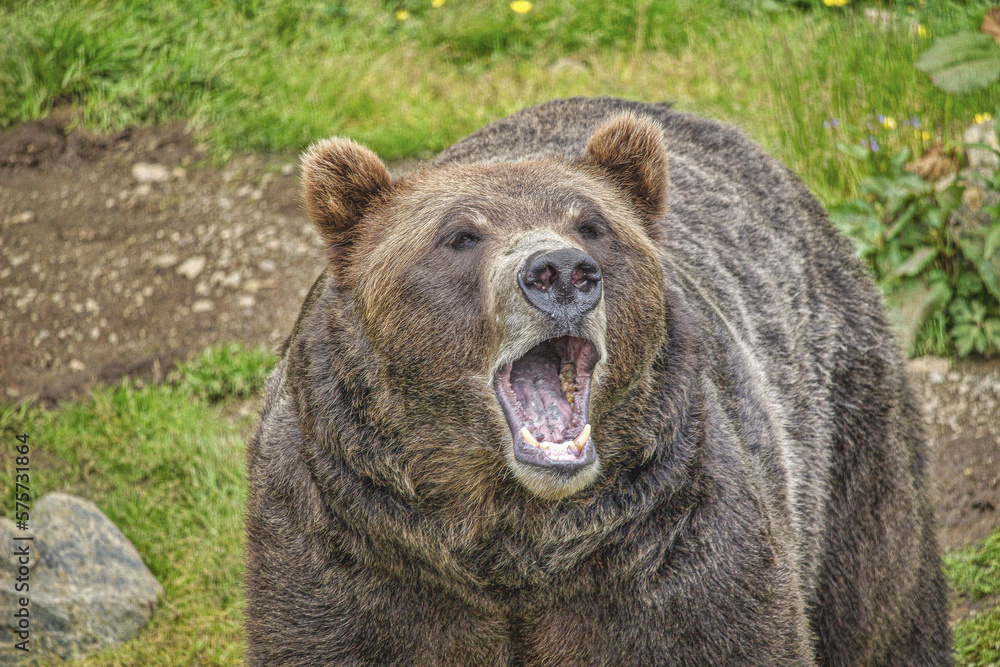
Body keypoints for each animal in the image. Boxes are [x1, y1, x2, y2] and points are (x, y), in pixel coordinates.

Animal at [244, 97, 952, 666]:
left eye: (591, 224)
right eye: (460, 235)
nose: (560, 271)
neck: (512, 540)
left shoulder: (666, 556)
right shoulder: (354, 553)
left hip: (843, 431)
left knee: (882, 596)